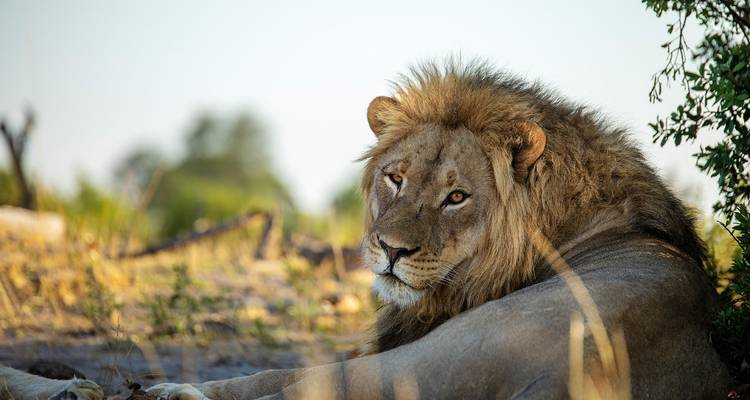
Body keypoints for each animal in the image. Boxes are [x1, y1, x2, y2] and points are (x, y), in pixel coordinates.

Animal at [2, 61, 728, 399]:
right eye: (395, 179)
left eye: (457, 197)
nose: (390, 251)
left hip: (445, 356)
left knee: (297, 385)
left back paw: (166, 390)